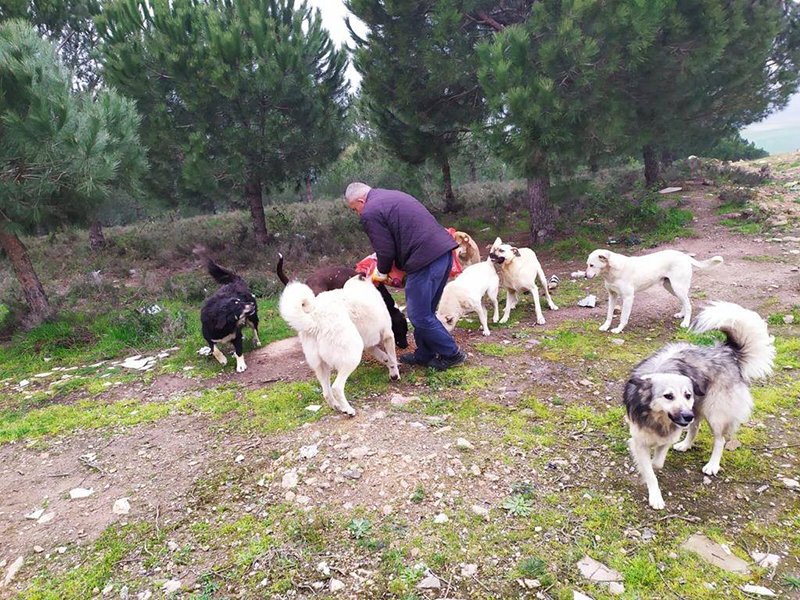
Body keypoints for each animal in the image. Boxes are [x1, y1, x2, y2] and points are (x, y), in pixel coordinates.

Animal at [278, 274, 400, 414]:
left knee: (326, 392)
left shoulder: (370, 346)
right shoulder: (388, 335)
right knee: (336, 387)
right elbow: (392, 357)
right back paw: (348, 410)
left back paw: (337, 406)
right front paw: (396, 374)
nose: (363, 274)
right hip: (352, 356)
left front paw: (391, 369)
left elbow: (385, 357)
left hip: (321, 366)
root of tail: (314, 318)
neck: (359, 286)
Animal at [580, 247, 724, 332]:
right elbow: (609, 315)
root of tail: (683, 255)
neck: (612, 271)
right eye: (587, 265)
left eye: (592, 265)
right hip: (671, 288)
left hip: (677, 288)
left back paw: (685, 322)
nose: (585, 276)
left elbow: (623, 317)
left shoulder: (628, 298)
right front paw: (606, 326)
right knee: (686, 301)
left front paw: (618, 329)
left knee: (689, 305)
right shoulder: (612, 295)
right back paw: (681, 315)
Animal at [624, 302, 776, 508]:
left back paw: (712, 465)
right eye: (668, 396)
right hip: (697, 408)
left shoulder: (670, 431)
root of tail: (727, 352)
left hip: (714, 412)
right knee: (694, 427)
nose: (686, 416)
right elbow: (651, 467)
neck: (657, 417)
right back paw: (685, 445)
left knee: (719, 439)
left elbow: (656, 463)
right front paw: (654, 490)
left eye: (687, 394)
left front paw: (654, 482)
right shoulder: (639, 439)